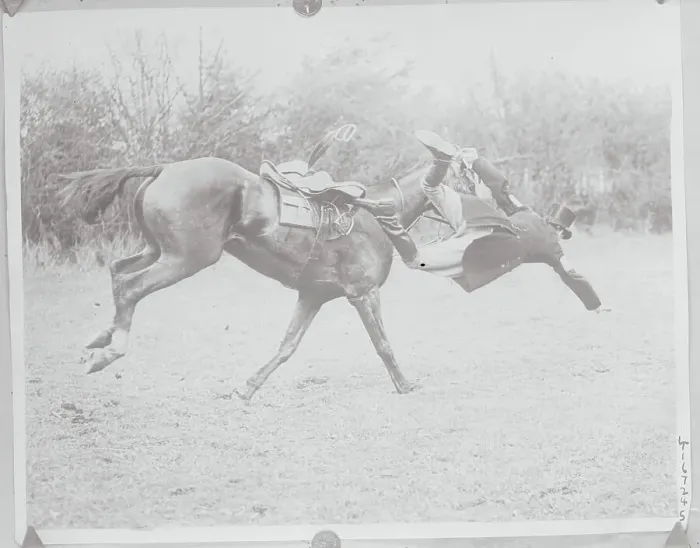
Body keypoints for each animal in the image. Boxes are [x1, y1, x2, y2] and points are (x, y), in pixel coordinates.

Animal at [56, 144, 455, 402]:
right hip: (186, 258)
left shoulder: (312, 295)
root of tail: (163, 169)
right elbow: (383, 344)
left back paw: (101, 338)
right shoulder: (363, 293)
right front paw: (405, 385)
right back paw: (110, 349)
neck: (378, 213)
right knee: (130, 285)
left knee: (117, 272)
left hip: (158, 251)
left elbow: (286, 347)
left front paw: (247, 388)